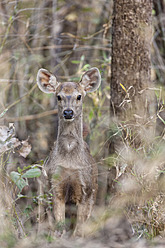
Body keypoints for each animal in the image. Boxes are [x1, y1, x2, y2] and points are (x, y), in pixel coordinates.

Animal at [36, 66, 100, 236]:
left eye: (79, 96)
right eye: (59, 96)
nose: (68, 112)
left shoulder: (86, 188)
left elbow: (79, 229)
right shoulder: (55, 185)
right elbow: (60, 225)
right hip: (42, 189)